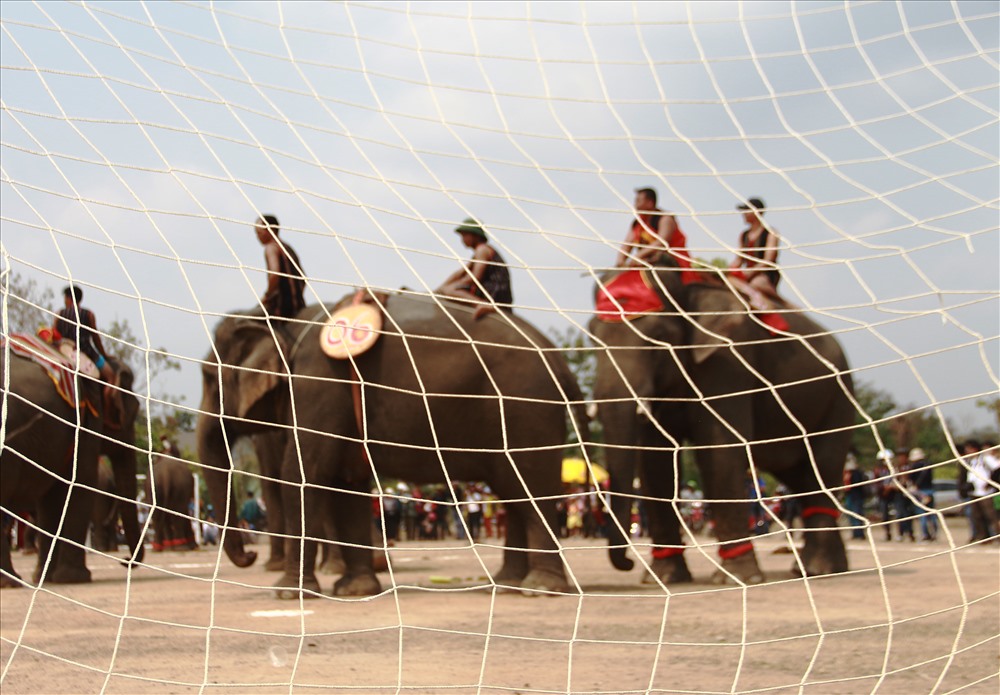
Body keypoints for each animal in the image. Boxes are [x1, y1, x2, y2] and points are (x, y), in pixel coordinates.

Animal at [0, 350, 143, 588]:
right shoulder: (86, 419)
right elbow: (81, 482)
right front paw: (74, 578)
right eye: (132, 414)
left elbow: (51, 500)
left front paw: (47, 578)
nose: (125, 561)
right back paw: (10, 581)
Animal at [195, 294, 584, 600]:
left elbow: (303, 474)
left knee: (531, 488)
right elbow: (347, 485)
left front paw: (289, 593)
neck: (285, 326)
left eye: (209, 377)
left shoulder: (317, 385)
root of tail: (560, 361)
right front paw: (354, 590)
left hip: (526, 408)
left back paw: (540, 588)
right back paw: (507, 585)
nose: (248, 556)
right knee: (514, 493)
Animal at [588, 266, 856, 588]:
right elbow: (655, 459)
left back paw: (819, 570)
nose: (627, 563)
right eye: (592, 339)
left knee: (822, 468)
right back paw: (812, 569)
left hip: (839, 395)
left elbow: (719, 449)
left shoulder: (729, 360)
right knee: (800, 475)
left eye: (659, 339)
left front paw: (739, 578)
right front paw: (664, 579)